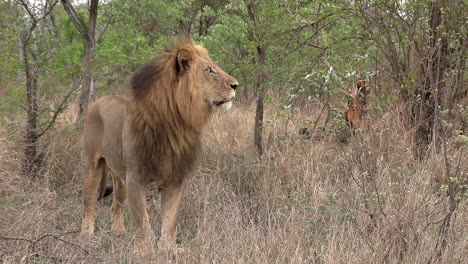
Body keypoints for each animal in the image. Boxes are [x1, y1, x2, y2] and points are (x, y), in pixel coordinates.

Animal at [80, 35, 238, 254]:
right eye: (209, 70)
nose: (236, 85)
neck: (177, 123)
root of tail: (99, 100)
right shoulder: (135, 178)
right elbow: (142, 222)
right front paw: (146, 252)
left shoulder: (174, 179)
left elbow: (169, 221)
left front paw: (167, 250)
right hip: (92, 164)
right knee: (88, 202)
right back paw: (86, 234)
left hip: (119, 177)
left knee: (115, 204)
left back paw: (118, 231)